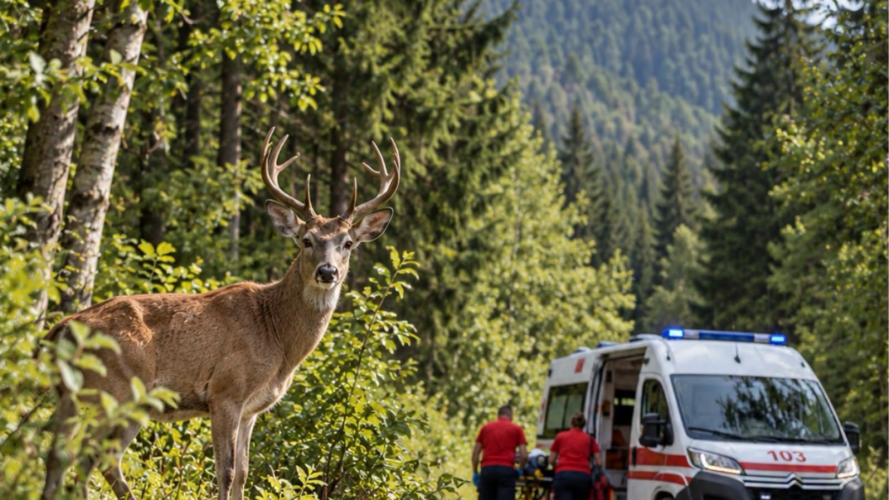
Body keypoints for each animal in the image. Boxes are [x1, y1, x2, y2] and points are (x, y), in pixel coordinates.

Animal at [40, 127, 401, 500]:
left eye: (348, 243)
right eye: (307, 240)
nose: (328, 272)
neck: (276, 336)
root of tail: (60, 330)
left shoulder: (251, 408)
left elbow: (243, 471)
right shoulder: (225, 391)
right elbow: (225, 473)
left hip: (76, 395)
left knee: (64, 456)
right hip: (119, 389)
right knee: (89, 458)